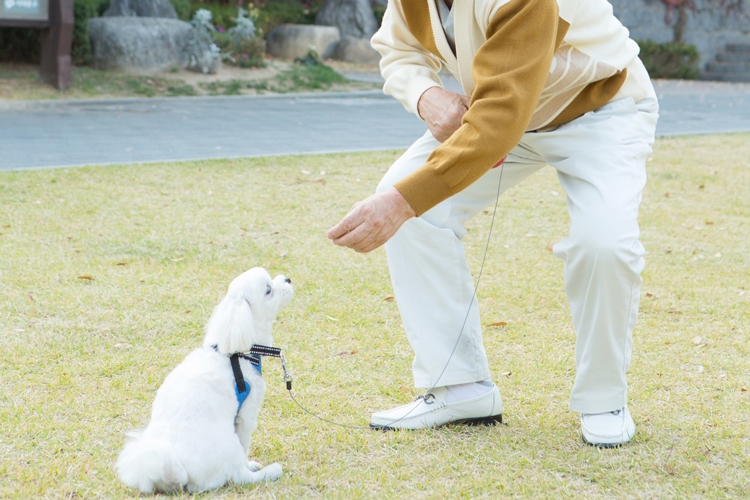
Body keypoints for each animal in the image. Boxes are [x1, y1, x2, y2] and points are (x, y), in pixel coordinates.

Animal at [117, 268, 294, 494]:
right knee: (240, 475)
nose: (288, 279)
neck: (237, 354)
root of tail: (180, 473)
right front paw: (251, 464)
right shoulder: (246, 413)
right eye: (268, 290)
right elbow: (245, 444)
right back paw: (270, 472)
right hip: (229, 443)